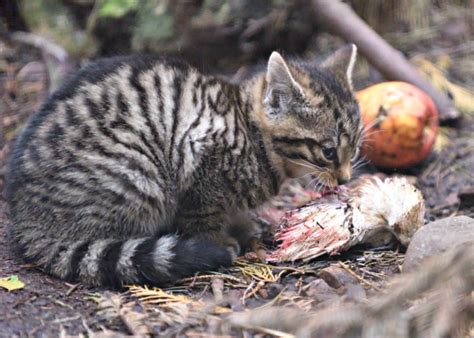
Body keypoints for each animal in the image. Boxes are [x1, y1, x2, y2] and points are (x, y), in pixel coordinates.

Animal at [3, 45, 362, 288]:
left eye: (356, 146)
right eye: (329, 151)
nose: (345, 178)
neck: (252, 133)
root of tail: (28, 221)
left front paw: (243, 224)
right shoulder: (201, 160)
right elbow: (203, 212)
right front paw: (218, 238)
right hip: (140, 174)